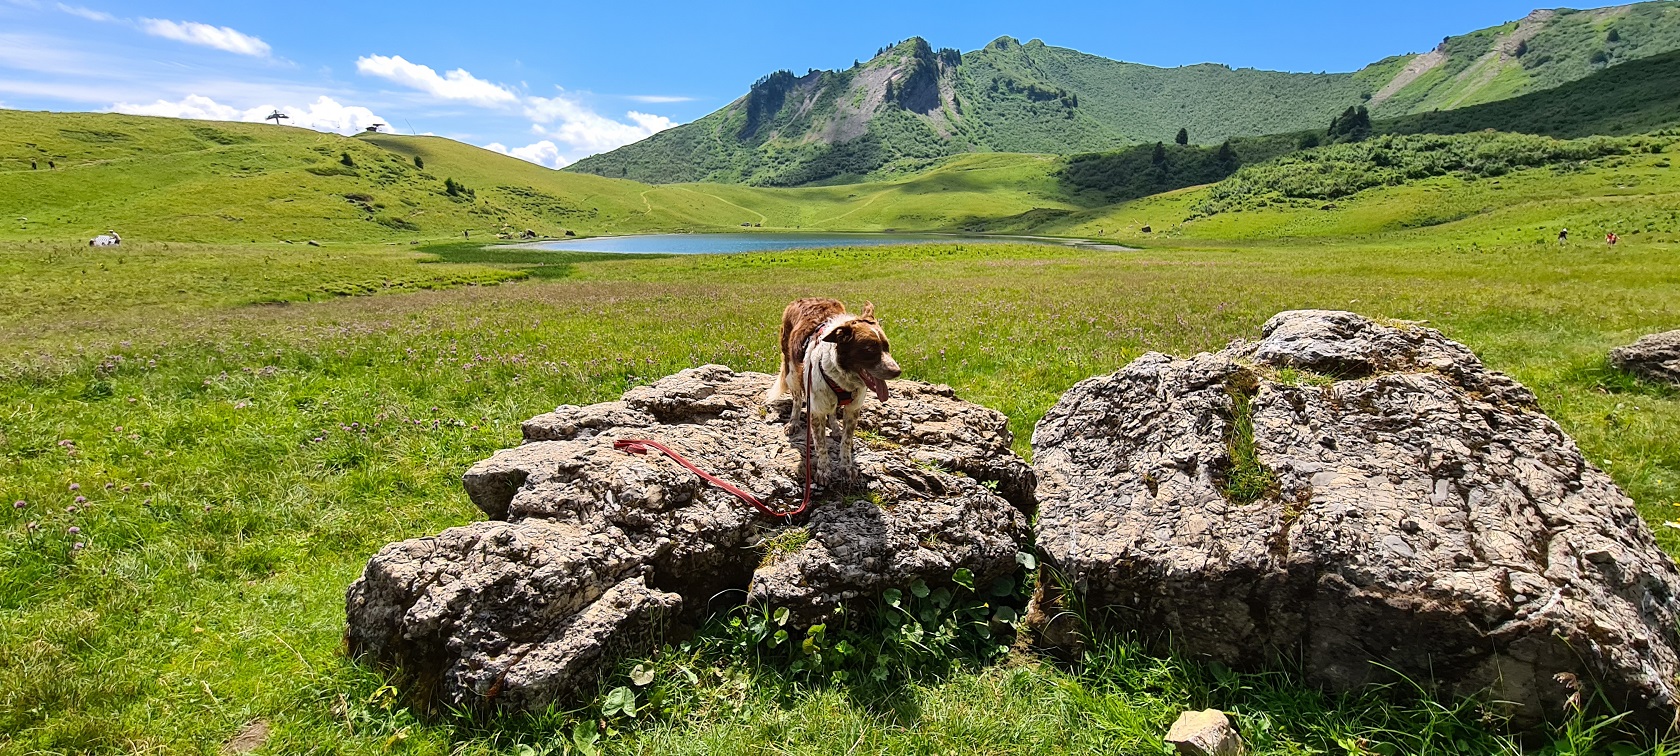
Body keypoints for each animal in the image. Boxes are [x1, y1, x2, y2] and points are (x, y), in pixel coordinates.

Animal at [769, 297, 907, 480]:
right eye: (869, 350)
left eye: (887, 347)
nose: (896, 371)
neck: (842, 375)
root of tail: (804, 299)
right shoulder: (817, 410)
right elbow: (821, 444)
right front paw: (823, 469)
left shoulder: (853, 409)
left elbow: (846, 441)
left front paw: (846, 465)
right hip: (791, 371)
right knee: (797, 400)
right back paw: (793, 422)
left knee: (833, 412)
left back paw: (835, 428)